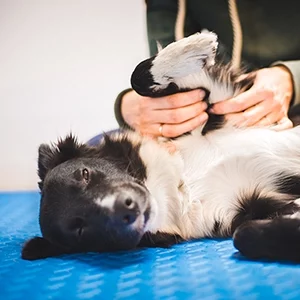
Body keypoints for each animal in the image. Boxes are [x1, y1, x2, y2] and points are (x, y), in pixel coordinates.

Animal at [21, 31, 300, 262]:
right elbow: (243, 235)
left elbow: (138, 78)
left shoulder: (222, 101)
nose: (126, 207)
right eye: (80, 228)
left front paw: (195, 46)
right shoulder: (247, 209)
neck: (184, 181)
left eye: (84, 174)